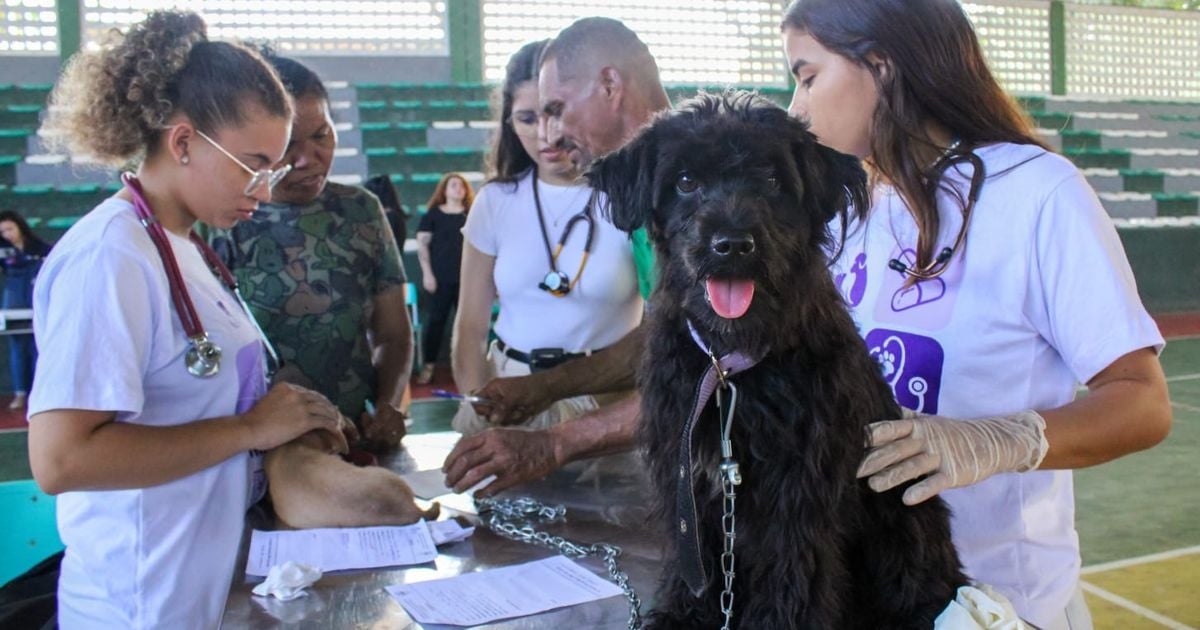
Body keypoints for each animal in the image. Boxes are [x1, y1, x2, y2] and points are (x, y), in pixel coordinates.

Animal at [585, 94, 969, 628]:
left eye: (770, 180)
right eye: (685, 181)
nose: (731, 245)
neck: (729, 367)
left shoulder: (798, 485)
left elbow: (792, 570)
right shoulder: (687, 480)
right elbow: (693, 561)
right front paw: (681, 615)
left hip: (903, 513)